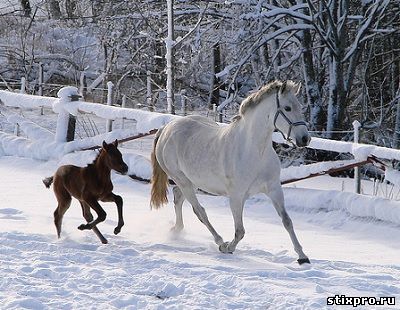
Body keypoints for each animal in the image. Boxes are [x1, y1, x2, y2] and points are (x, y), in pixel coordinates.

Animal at [152, 80, 310, 264]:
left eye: (299, 107)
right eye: (287, 108)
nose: (305, 139)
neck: (254, 151)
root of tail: (166, 128)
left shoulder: (274, 189)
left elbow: (287, 221)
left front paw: (303, 257)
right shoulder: (236, 196)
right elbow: (240, 231)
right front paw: (228, 247)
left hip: (193, 182)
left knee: (178, 197)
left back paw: (177, 229)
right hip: (183, 180)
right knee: (199, 211)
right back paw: (219, 241)